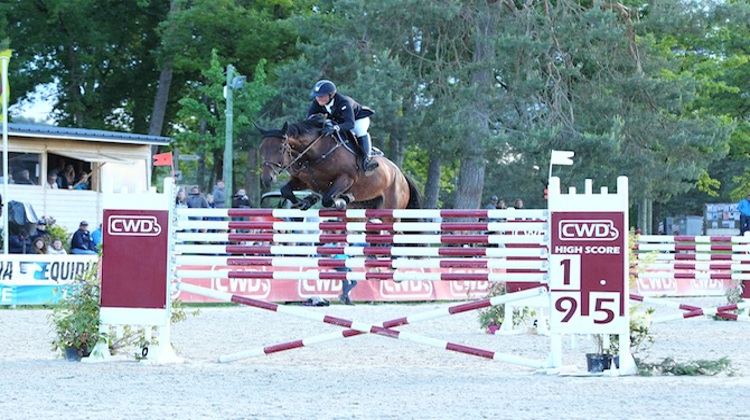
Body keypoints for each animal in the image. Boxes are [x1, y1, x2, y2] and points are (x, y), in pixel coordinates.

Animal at [258, 116, 424, 210]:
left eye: (280, 148)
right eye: (262, 148)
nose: (267, 179)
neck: (315, 154)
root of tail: (401, 176)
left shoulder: (347, 179)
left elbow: (327, 199)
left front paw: (343, 200)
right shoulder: (303, 180)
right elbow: (286, 190)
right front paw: (304, 202)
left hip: (391, 209)